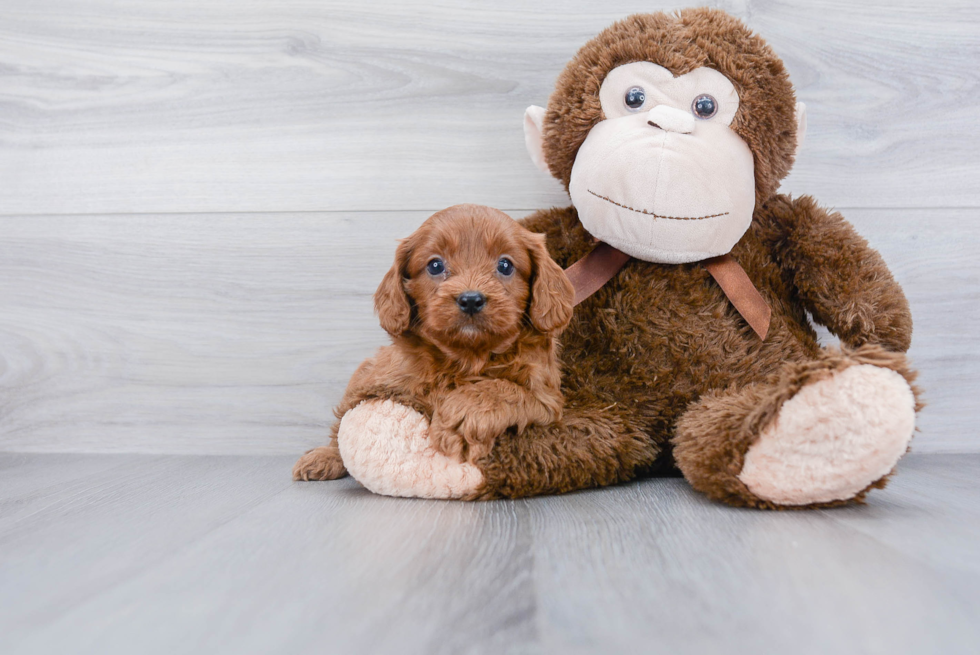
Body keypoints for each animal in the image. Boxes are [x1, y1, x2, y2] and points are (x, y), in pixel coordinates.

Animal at [294, 202, 580, 480]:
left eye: (505, 265)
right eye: (435, 266)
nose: (471, 299)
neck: (467, 357)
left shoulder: (546, 397)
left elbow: (503, 388)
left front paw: (460, 419)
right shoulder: (379, 378)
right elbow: (347, 412)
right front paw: (327, 455)